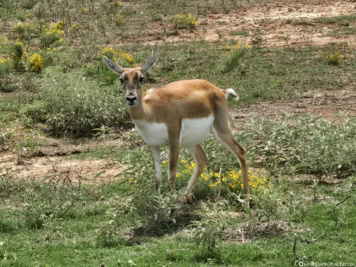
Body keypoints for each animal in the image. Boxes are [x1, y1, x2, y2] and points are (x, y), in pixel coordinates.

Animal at [103, 52, 250, 201]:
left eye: (141, 78)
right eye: (121, 79)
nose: (131, 98)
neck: (151, 112)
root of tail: (219, 90)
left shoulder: (173, 140)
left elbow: (171, 173)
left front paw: (170, 202)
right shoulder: (152, 144)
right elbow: (157, 176)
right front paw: (159, 200)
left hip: (220, 128)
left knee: (240, 151)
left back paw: (246, 198)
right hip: (190, 141)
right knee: (202, 159)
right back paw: (183, 197)